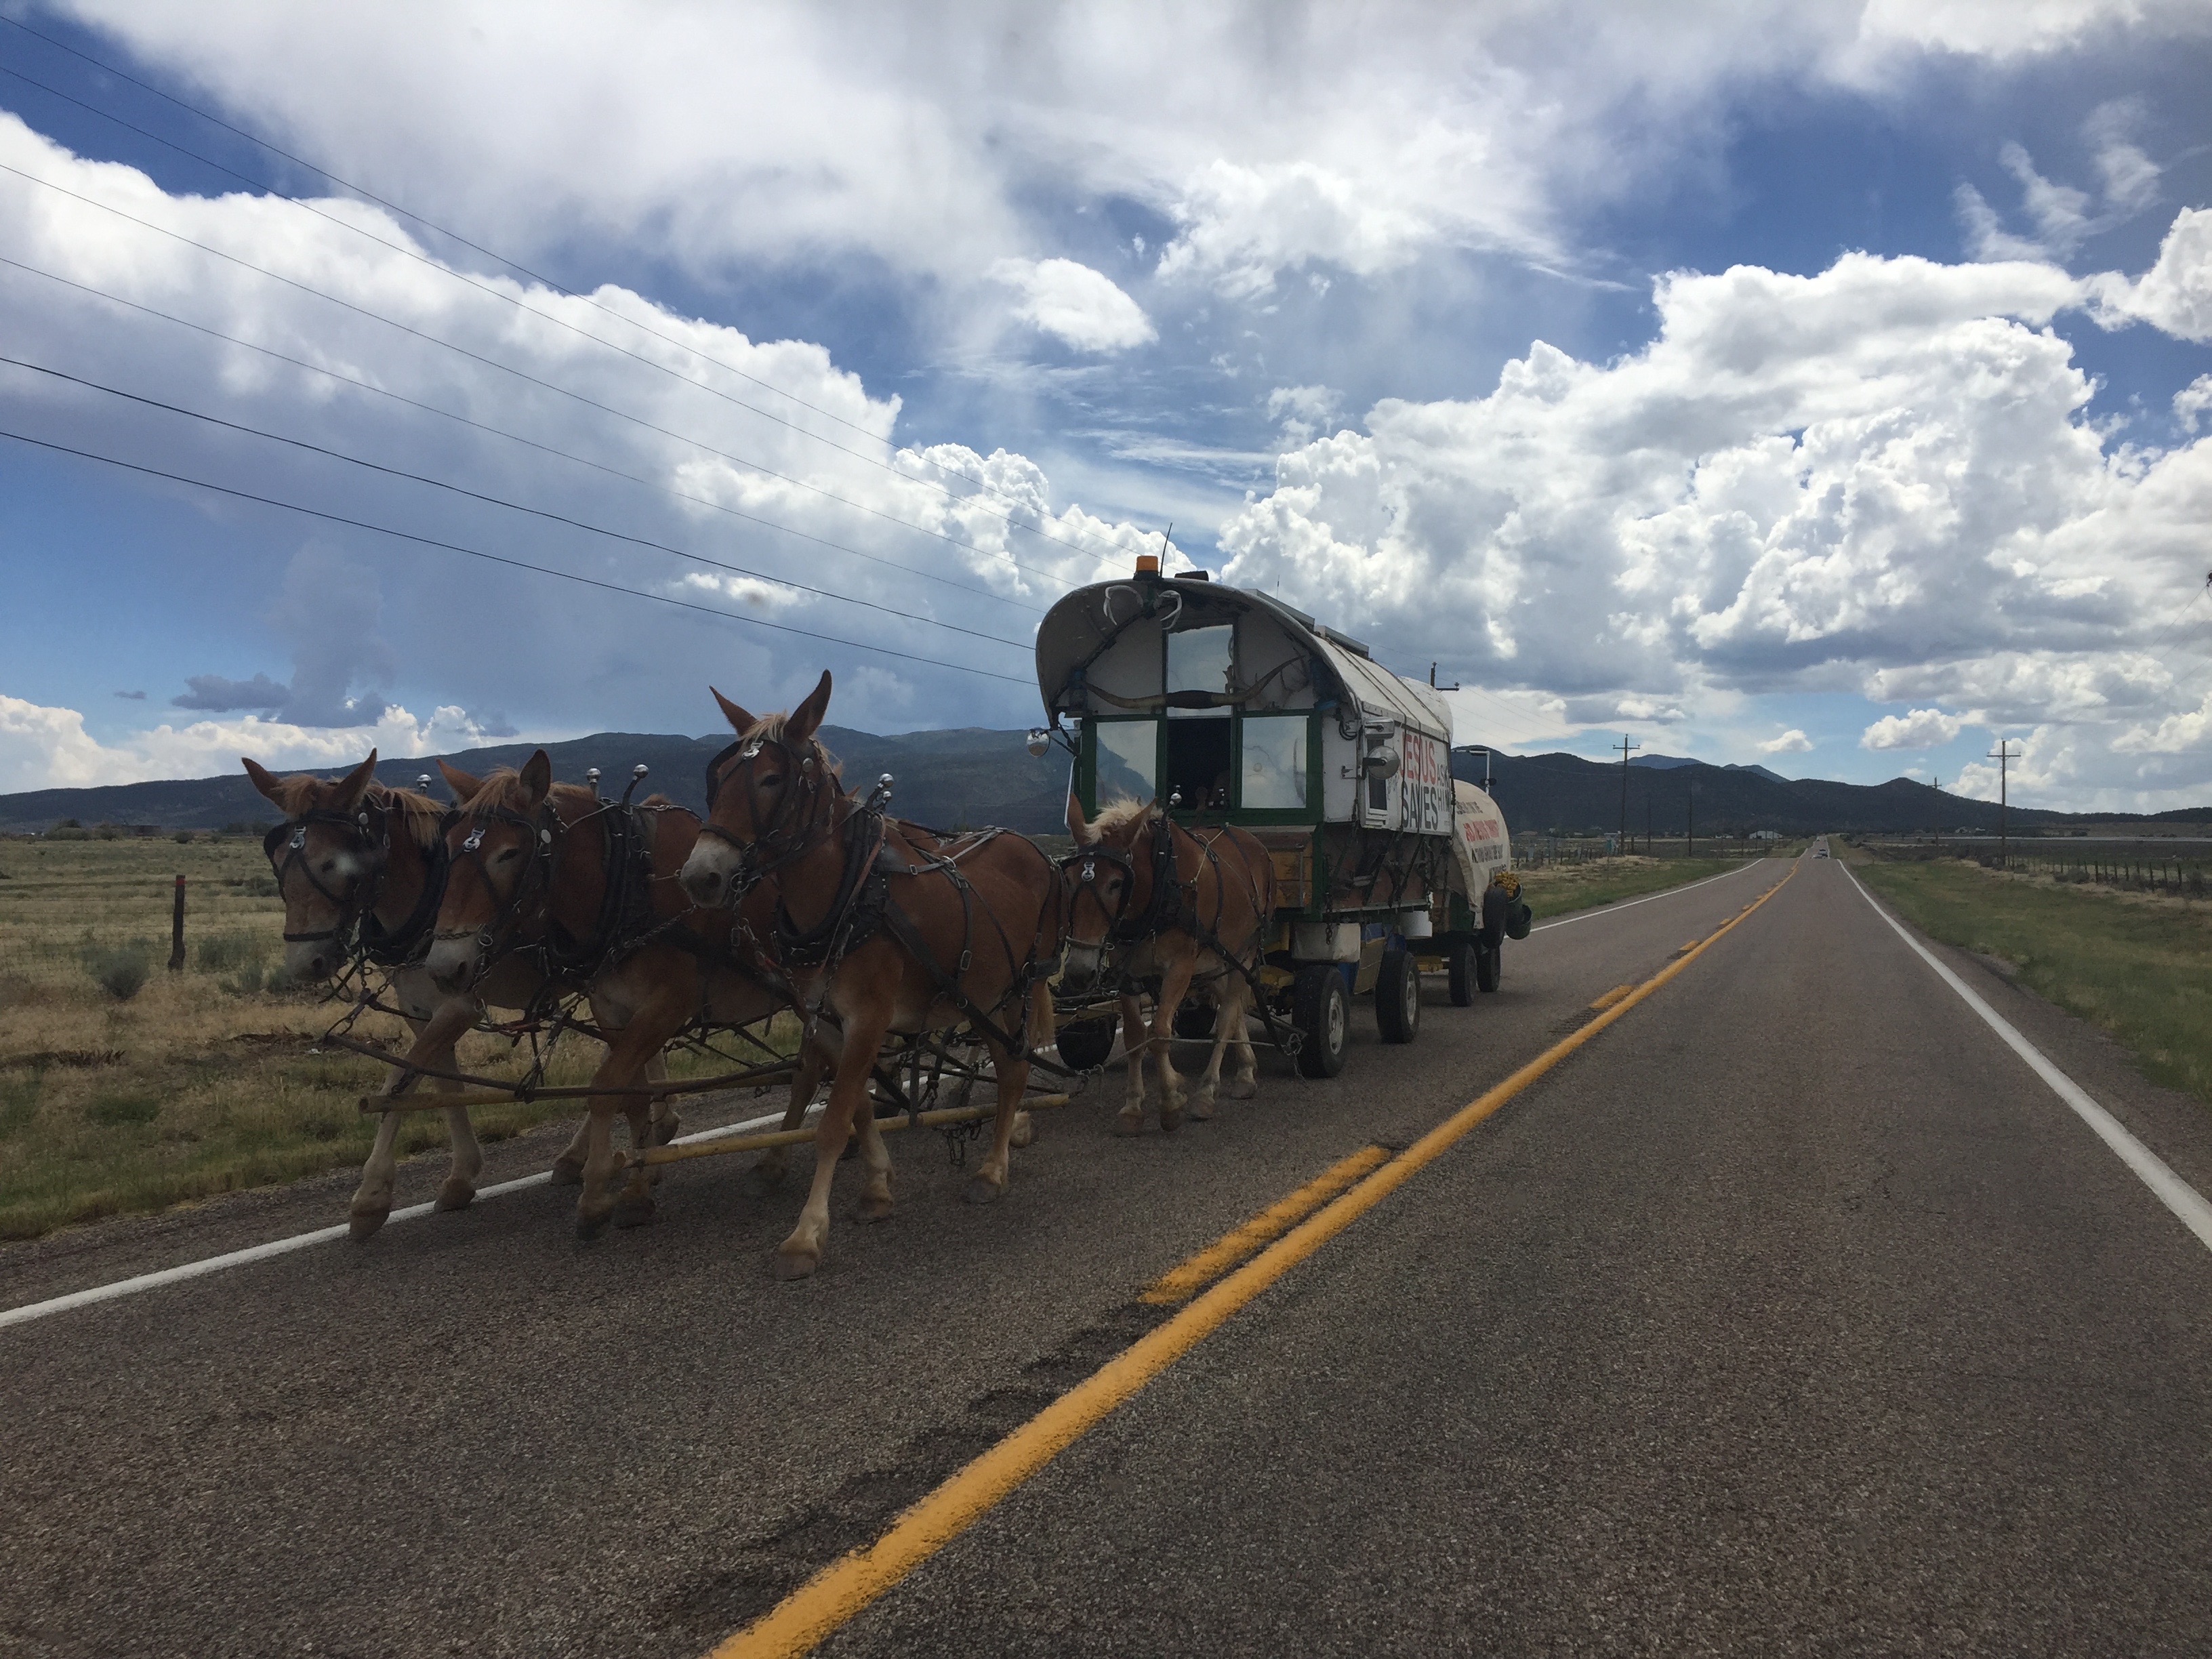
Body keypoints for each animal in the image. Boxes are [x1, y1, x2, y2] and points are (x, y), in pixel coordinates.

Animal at [245, 751, 687, 1239]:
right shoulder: (419, 1008)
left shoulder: (459, 1006)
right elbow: (439, 1083)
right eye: (278, 860)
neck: (427, 892)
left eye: (330, 865)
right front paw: (460, 1177)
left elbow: (399, 1084)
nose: (304, 963)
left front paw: (371, 1196)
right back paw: (633, 1137)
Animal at [425, 750, 832, 1238]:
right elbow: (632, 1097)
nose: (444, 968)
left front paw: (598, 1193)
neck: (629, 886)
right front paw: (635, 1189)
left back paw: (782, 1160)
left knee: (814, 1070)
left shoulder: (668, 1004)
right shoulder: (612, 1008)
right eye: (449, 848)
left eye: (509, 853)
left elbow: (607, 1085)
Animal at [677, 670, 1064, 1280]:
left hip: (1015, 989)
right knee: (1010, 1068)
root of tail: (1035, 852)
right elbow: (857, 1107)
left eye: (770, 779)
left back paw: (993, 1170)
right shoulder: (829, 1021)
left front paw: (805, 1236)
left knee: (1014, 1071)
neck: (850, 895)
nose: (700, 877)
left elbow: (834, 1122)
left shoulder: (871, 1015)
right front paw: (878, 1188)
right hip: (988, 994)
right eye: (717, 779)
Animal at [1059, 796, 1276, 1135]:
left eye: (1117, 883)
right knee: (1234, 1008)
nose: (1079, 972)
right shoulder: (1127, 971)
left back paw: (1207, 1091)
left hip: (1245, 953)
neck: (1159, 887)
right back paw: (1245, 1071)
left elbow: (1160, 1032)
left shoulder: (1180, 967)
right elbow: (1136, 1036)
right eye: (1068, 880)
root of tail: (1254, 841)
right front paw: (1133, 1107)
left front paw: (1172, 1102)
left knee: (1227, 1016)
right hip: (1217, 959)